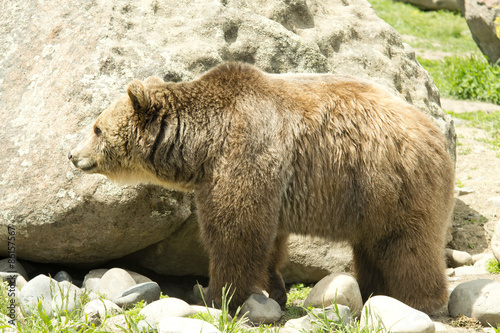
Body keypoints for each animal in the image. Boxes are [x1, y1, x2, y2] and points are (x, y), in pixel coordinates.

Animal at [70, 61, 458, 312]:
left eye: (96, 128)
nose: (73, 155)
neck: (202, 145)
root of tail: (436, 134)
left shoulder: (244, 151)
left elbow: (235, 231)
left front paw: (213, 293)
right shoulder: (268, 185)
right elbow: (268, 240)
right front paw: (274, 290)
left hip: (392, 183)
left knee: (408, 245)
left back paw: (422, 301)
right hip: (370, 200)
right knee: (373, 248)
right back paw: (373, 290)